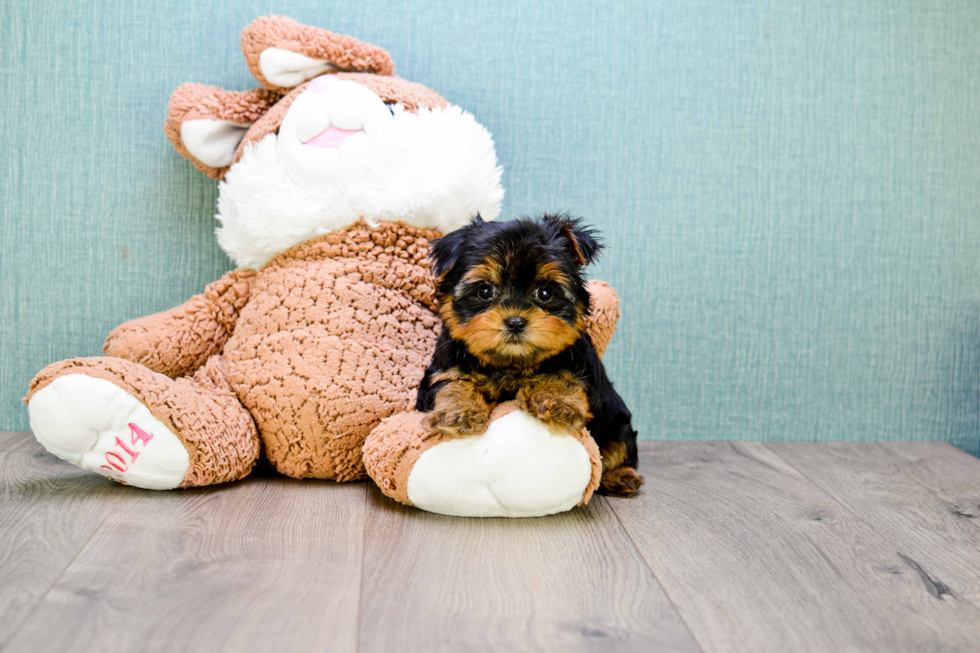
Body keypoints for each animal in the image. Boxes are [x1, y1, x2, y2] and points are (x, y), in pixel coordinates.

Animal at [420, 213, 644, 494]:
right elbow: (451, 383)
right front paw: (458, 412)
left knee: (615, 451)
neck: (511, 363)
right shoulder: (443, 368)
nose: (515, 322)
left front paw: (557, 401)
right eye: (485, 291)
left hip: (618, 425)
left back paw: (621, 477)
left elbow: (563, 375)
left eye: (545, 293)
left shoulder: (577, 363)